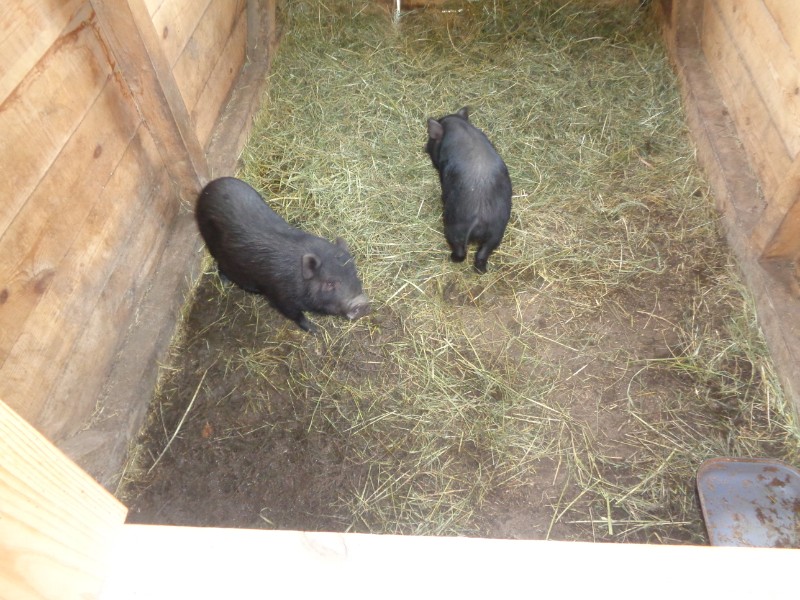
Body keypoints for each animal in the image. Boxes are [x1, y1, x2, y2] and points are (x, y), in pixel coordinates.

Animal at [195, 177, 370, 332]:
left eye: (355, 274)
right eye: (329, 283)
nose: (362, 303)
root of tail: (209, 187)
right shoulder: (281, 297)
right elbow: (295, 315)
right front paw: (315, 330)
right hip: (212, 242)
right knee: (221, 265)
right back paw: (226, 284)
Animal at [425, 106, 512, 273]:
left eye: (431, 139)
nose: (425, 147)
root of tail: (480, 218)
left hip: (455, 225)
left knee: (460, 251)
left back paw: (452, 258)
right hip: (497, 232)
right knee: (483, 253)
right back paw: (481, 270)